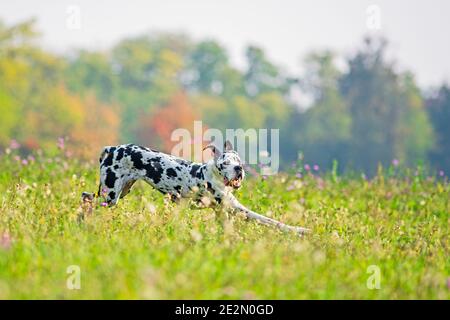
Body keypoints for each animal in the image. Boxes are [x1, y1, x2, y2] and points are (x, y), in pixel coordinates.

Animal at [82, 141, 310, 235]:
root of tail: (111, 148)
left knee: (86, 197)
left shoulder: (223, 212)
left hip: (119, 192)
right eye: (225, 162)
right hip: (110, 195)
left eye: (238, 160)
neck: (213, 175)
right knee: (87, 199)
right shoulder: (237, 210)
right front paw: (301, 230)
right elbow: (270, 221)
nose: (238, 169)